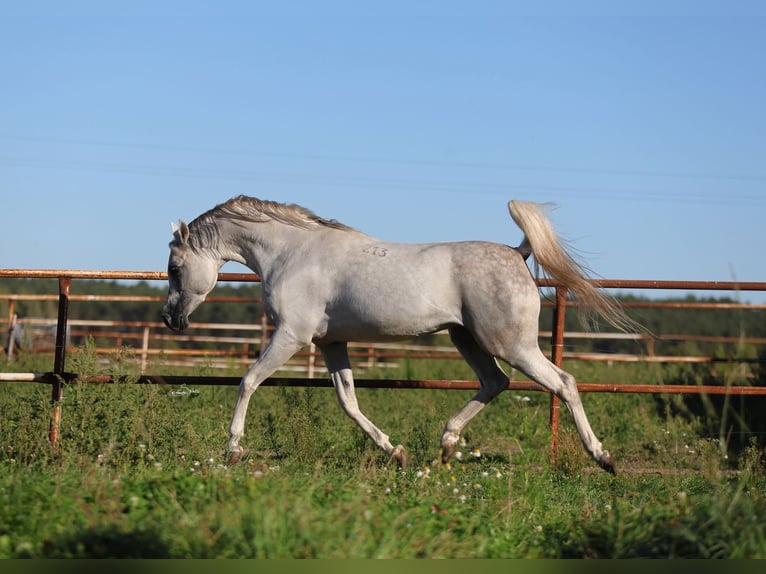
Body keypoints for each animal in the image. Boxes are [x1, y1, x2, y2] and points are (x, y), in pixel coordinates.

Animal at [162, 195, 635, 473]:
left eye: (174, 268)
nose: (170, 319)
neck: (292, 253)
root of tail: (518, 253)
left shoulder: (291, 337)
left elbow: (248, 381)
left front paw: (233, 449)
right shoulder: (331, 343)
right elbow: (349, 402)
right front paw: (396, 451)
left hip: (510, 343)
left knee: (564, 382)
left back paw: (604, 458)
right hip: (467, 339)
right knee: (495, 382)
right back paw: (446, 445)